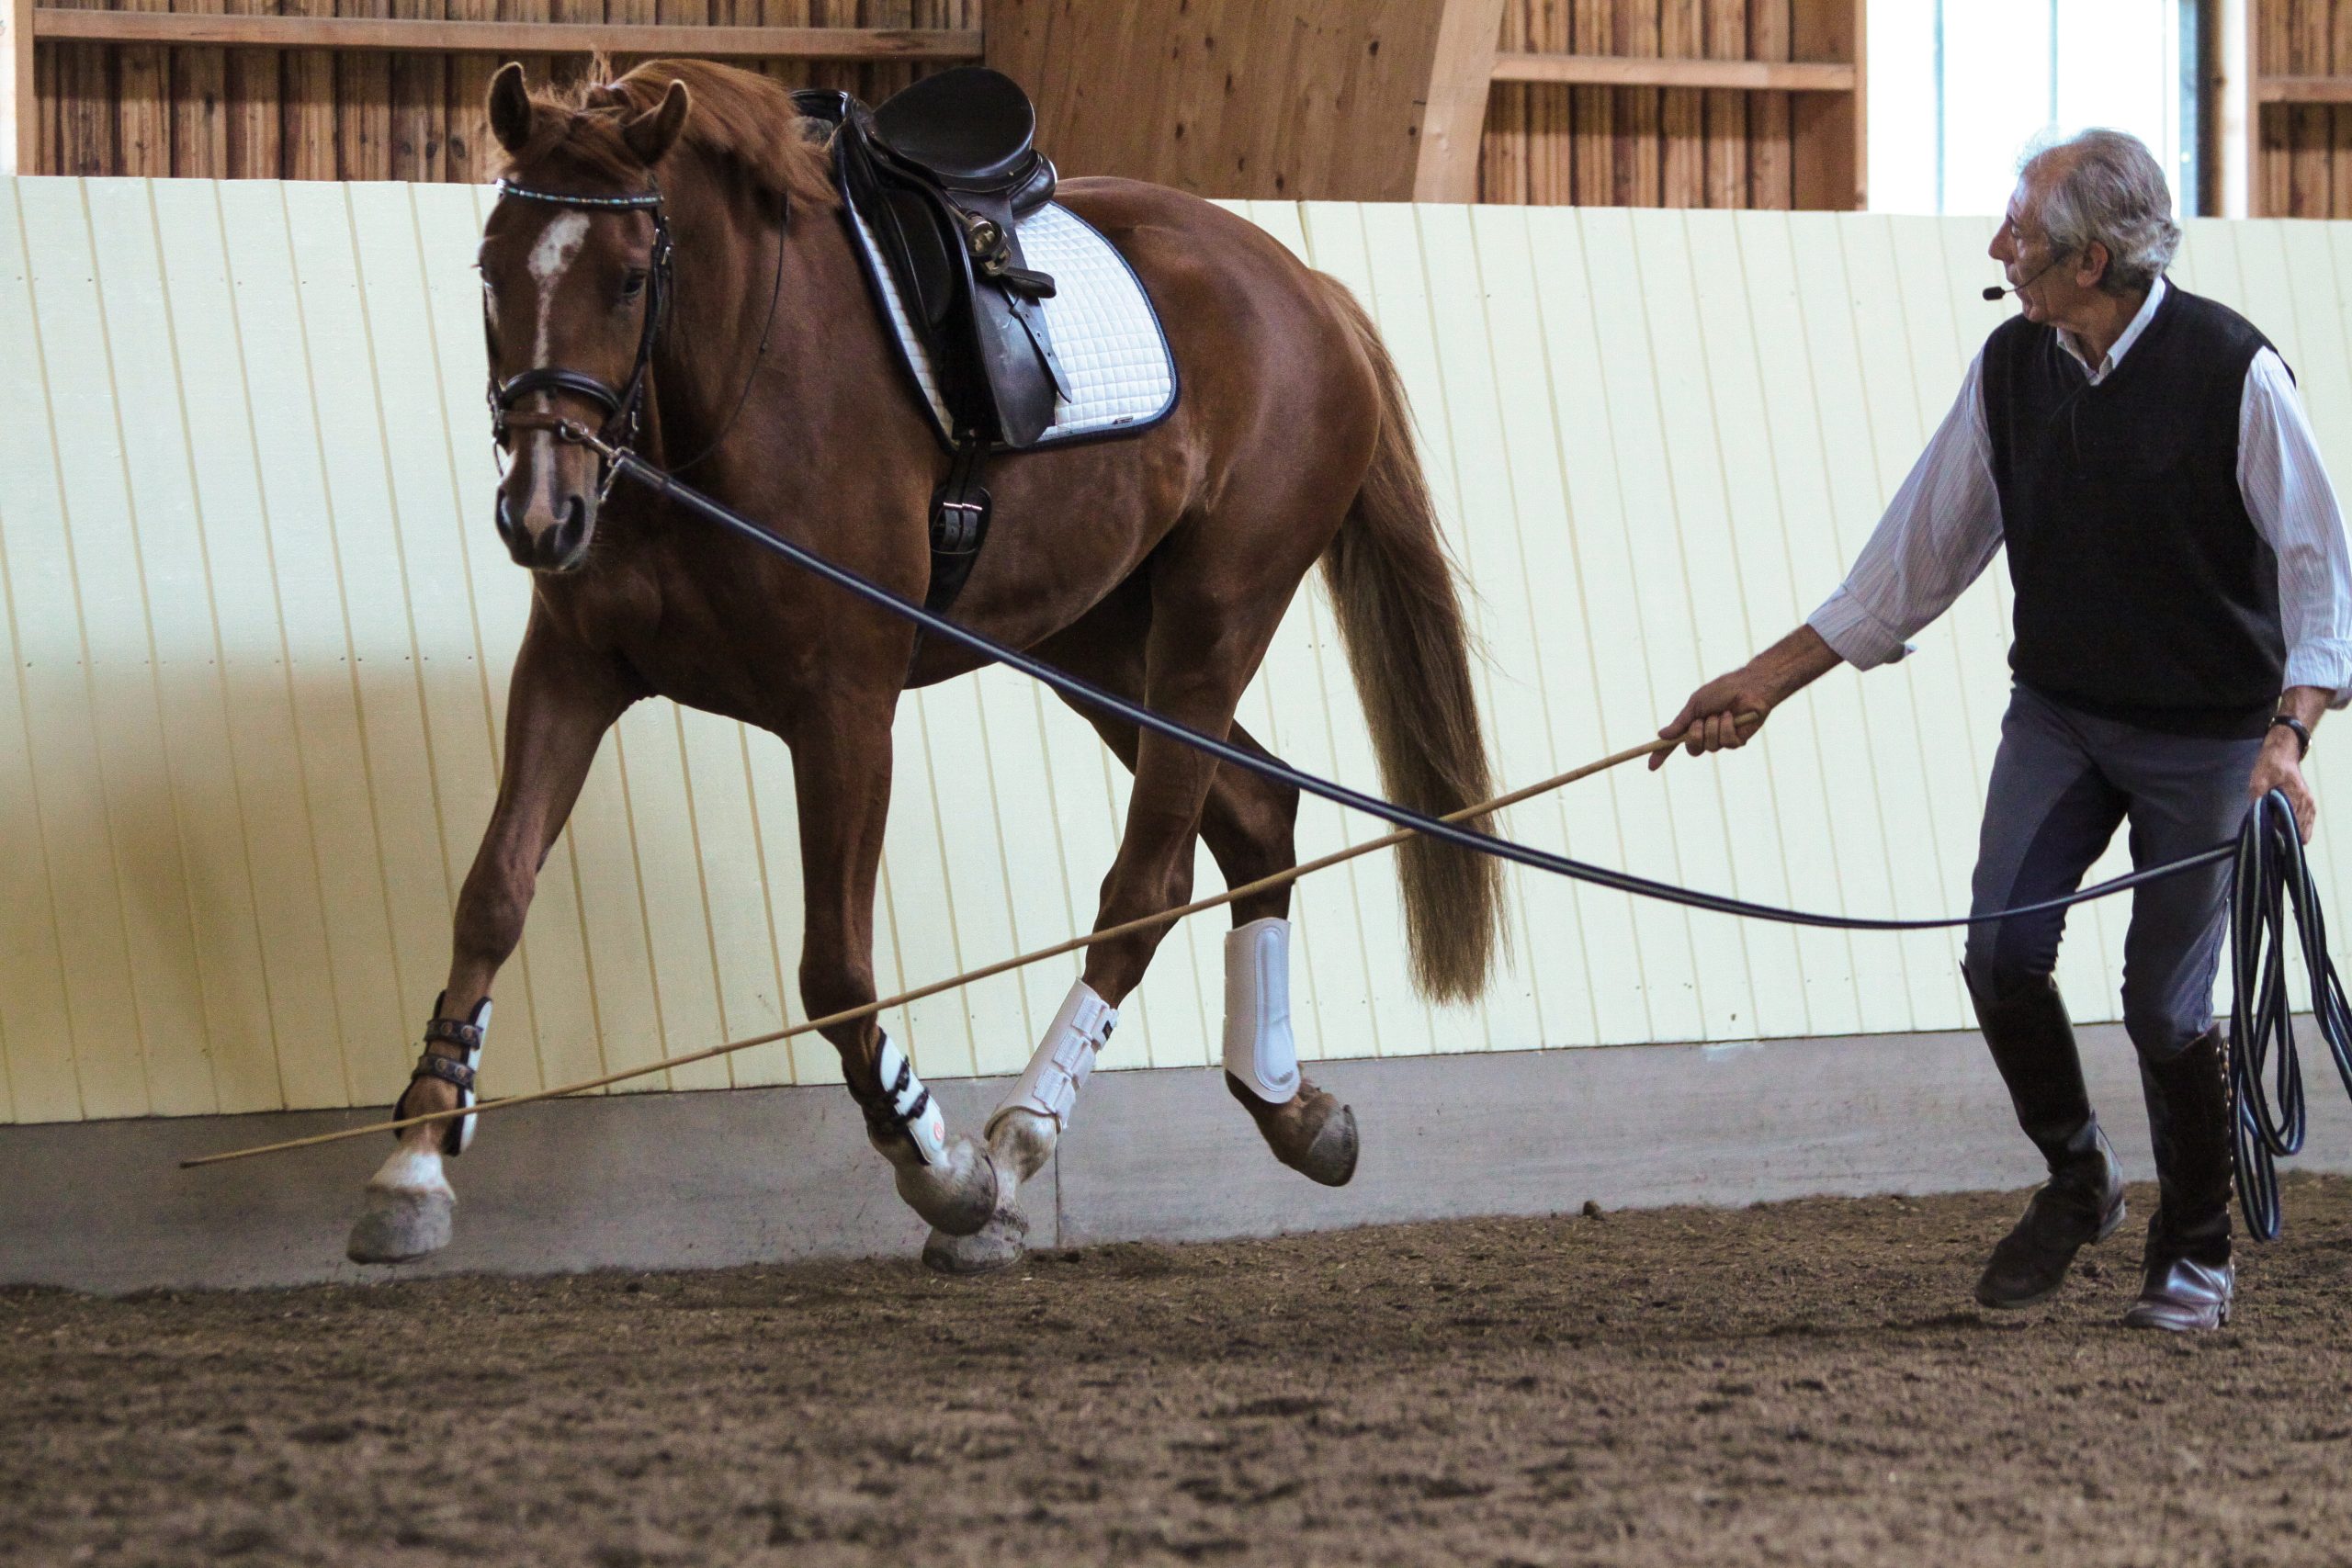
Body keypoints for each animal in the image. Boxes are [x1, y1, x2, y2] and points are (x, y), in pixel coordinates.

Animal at [345, 58, 1505, 1274]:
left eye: (625, 280)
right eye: (492, 269)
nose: (538, 514)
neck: (723, 394)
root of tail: (1305, 288)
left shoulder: (845, 708)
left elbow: (835, 972)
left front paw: (946, 1172)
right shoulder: (572, 671)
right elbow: (493, 895)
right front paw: (414, 1160)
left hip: (1212, 623)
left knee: (1147, 885)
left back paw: (1024, 1139)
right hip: (1093, 646)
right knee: (1256, 812)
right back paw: (1289, 1107)